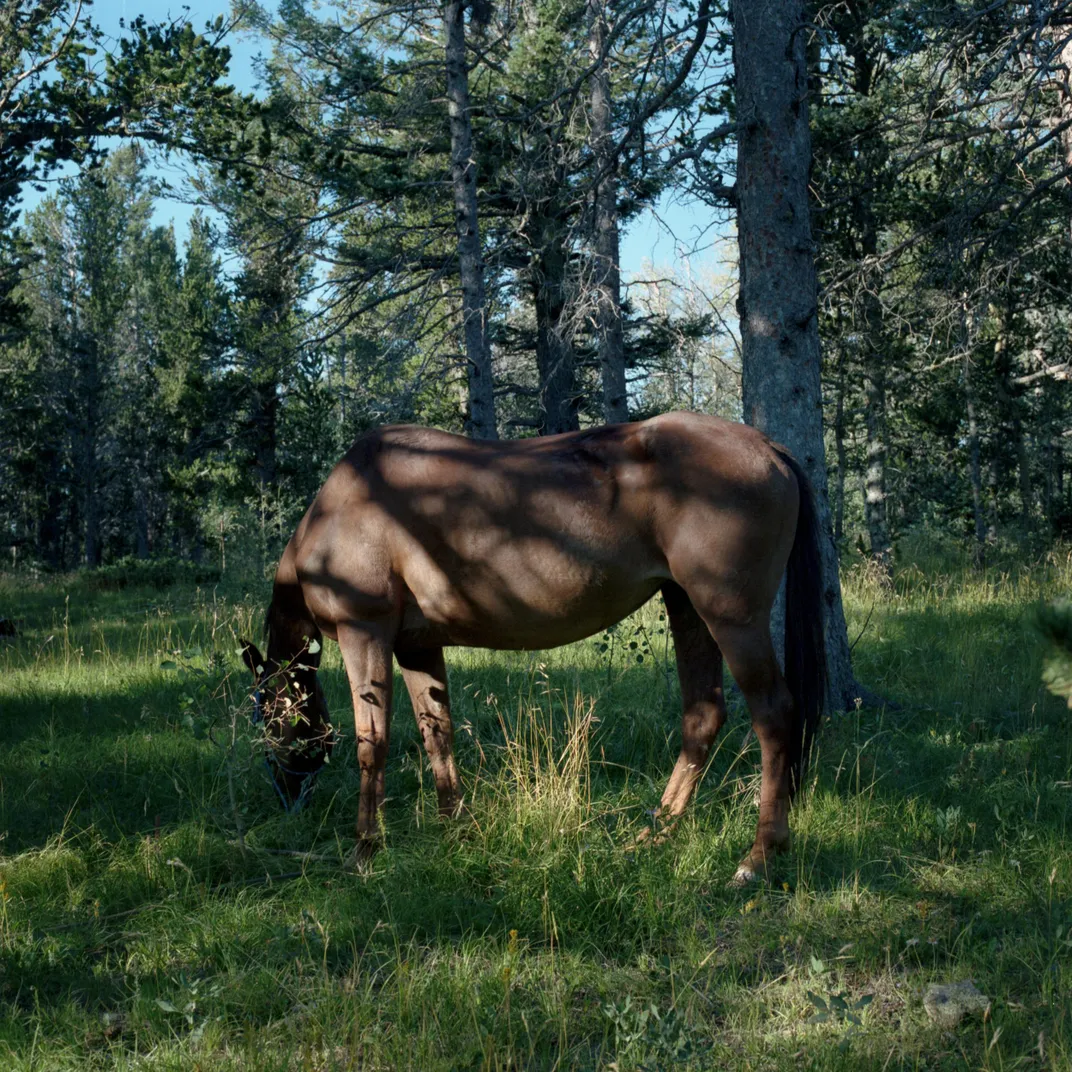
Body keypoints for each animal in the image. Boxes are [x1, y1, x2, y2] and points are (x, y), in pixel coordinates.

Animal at [243, 407, 823, 879]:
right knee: (703, 715)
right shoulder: (417, 647)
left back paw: (758, 856)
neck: (346, 506)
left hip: (731, 617)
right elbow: (438, 734)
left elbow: (372, 743)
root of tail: (768, 448)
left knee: (773, 714)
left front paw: (365, 849)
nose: (286, 797)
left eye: (269, 715)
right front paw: (455, 829)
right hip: (686, 607)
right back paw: (653, 835)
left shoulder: (365, 632)